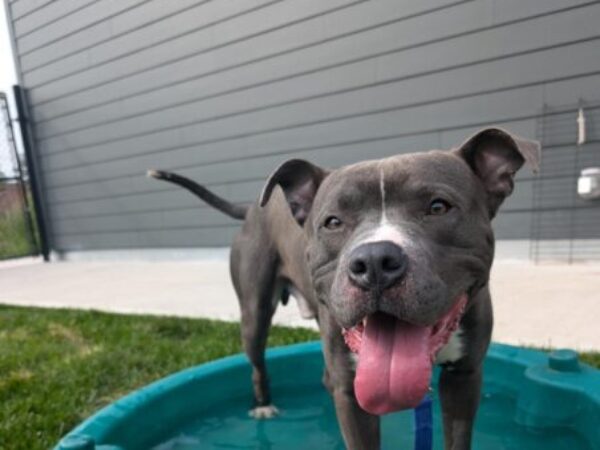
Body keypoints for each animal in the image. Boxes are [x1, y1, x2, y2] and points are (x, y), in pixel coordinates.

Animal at [149, 127, 540, 450]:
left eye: (438, 207)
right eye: (333, 222)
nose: (375, 262)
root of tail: (253, 210)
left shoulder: (465, 377)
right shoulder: (354, 393)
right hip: (254, 314)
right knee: (258, 360)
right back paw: (263, 407)